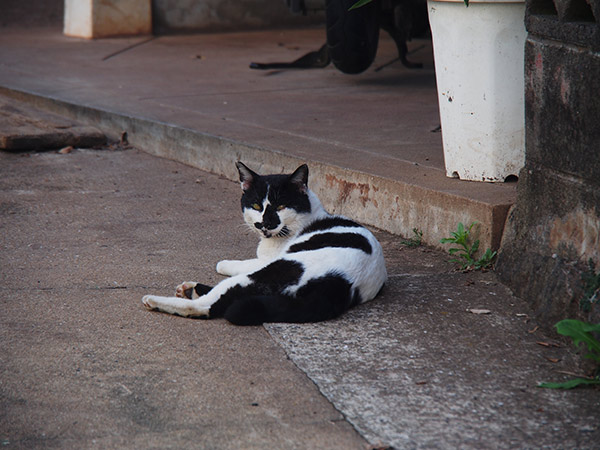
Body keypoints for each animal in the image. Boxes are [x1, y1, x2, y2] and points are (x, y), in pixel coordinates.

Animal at [141, 163, 386, 326]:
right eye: (257, 205)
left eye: (280, 206)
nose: (264, 224)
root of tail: (341, 282)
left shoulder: (268, 260)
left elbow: (242, 263)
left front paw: (223, 263)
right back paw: (190, 290)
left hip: (275, 271)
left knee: (209, 305)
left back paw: (157, 299)